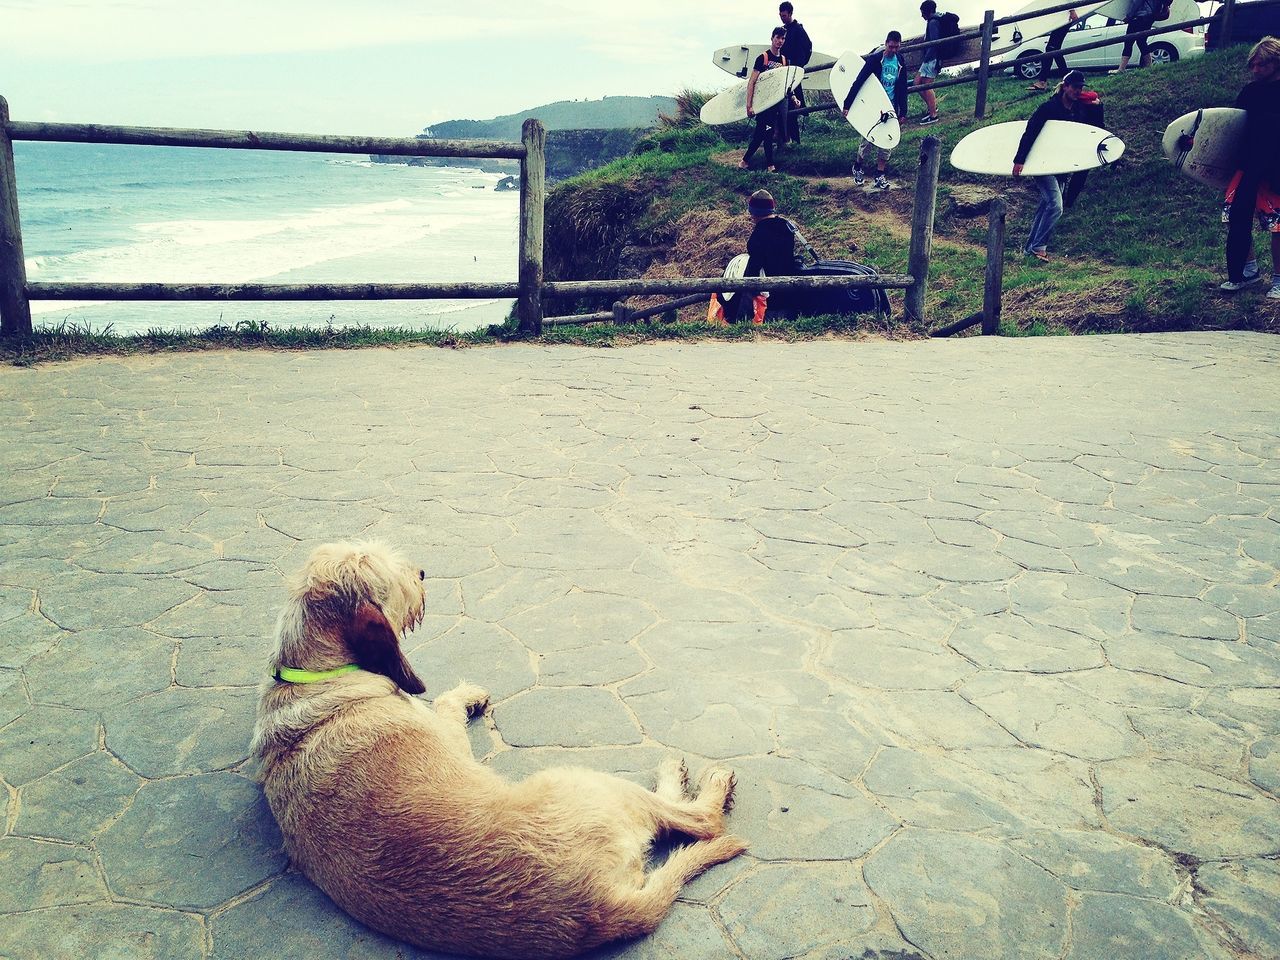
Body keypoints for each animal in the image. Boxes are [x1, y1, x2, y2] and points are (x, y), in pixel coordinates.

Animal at [248, 545, 747, 957]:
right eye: (396, 576)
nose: (422, 572)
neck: (313, 678)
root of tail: (603, 907)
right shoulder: (449, 738)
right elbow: (446, 705)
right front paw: (466, 695)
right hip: (584, 780)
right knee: (700, 821)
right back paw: (689, 778)